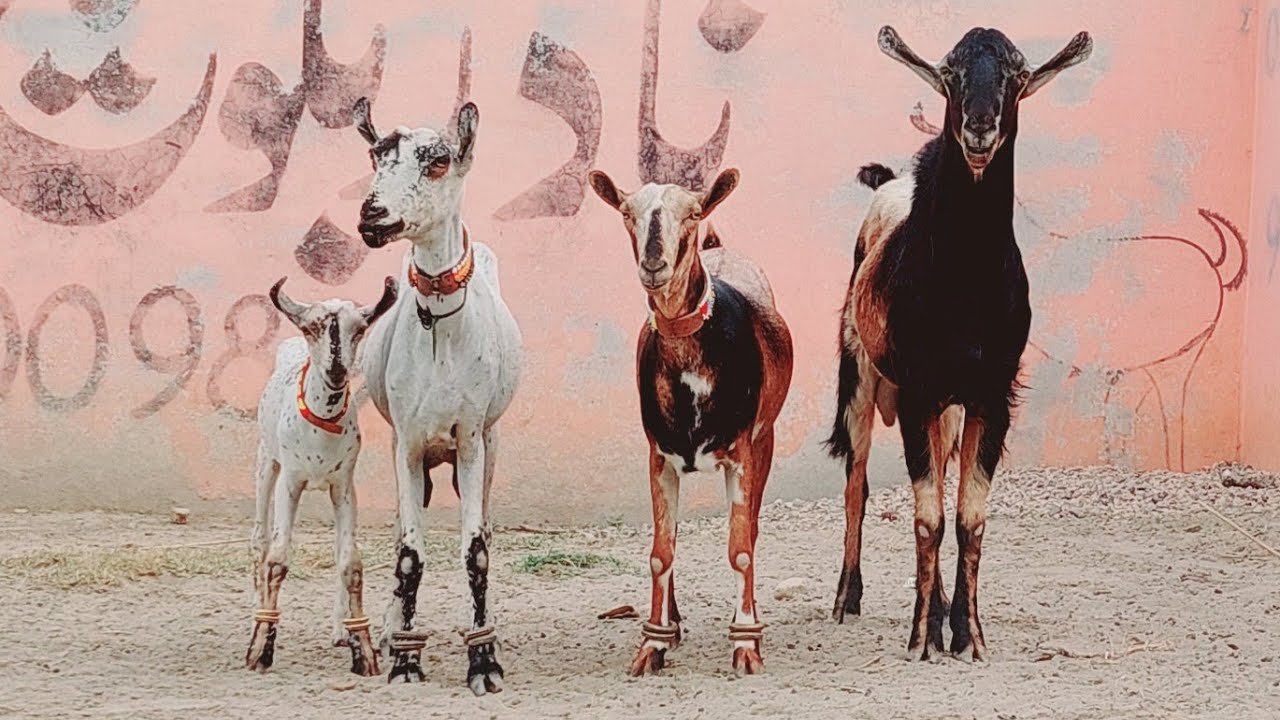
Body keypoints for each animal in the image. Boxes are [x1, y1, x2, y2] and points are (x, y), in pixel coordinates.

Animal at [245, 275, 398, 676]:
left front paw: (363, 649)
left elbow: (350, 563)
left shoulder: (343, 487)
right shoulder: (290, 482)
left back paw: (339, 631)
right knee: (259, 541)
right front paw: (261, 648)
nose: (337, 370)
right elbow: (277, 560)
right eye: (311, 326)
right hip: (266, 463)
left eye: (359, 328)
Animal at [352, 97, 522, 694]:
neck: (441, 332)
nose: (372, 214)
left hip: (489, 447)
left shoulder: (471, 440)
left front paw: (485, 661)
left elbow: (476, 553)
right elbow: (409, 554)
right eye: (377, 156)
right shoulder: (406, 444)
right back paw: (388, 632)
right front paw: (405, 660)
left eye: (438, 161)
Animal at [588, 168, 793, 677]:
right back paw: (674, 623)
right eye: (627, 212)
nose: (654, 264)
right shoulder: (659, 457)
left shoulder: (741, 453)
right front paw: (652, 645)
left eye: (693, 213)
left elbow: (741, 548)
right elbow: (661, 552)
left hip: (766, 438)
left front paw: (746, 646)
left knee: (752, 527)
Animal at [826, 26, 1092, 661]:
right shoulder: (919, 391)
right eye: (949, 73)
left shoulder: (990, 396)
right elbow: (927, 519)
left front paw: (968, 636)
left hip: (947, 414)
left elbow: (968, 517)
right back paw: (846, 599)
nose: (979, 128)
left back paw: (945, 607)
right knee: (856, 484)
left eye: (1017, 75)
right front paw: (922, 639)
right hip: (860, 378)